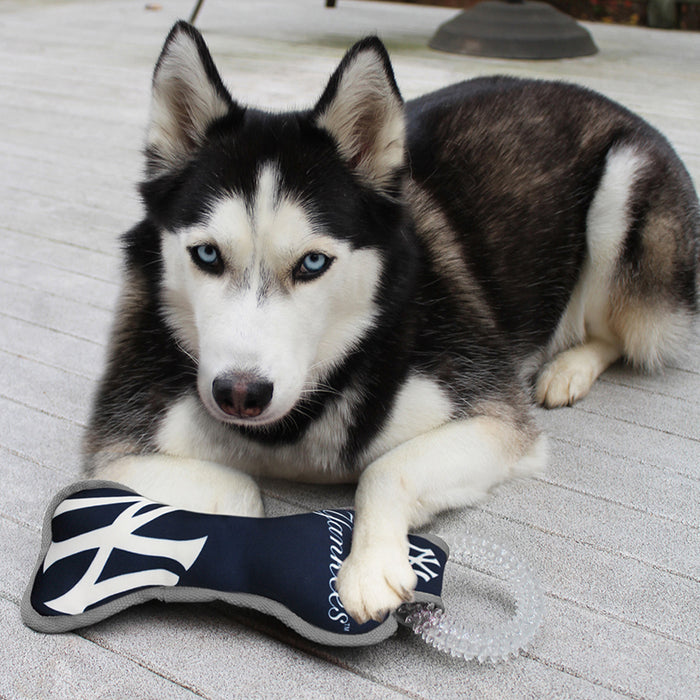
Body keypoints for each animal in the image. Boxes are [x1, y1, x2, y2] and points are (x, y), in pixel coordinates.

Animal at [85, 21, 696, 624]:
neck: (298, 420)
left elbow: (385, 469)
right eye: (208, 255)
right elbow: (238, 492)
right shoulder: (119, 444)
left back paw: (569, 368)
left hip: (627, 188)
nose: (240, 394)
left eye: (312, 263)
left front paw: (370, 566)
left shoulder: (497, 420)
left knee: (622, 332)